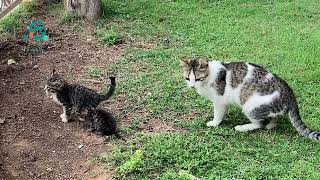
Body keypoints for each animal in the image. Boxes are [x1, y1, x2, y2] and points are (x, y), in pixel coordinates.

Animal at [181, 56, 320, 141]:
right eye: (187, 78)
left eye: (198, 78)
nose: (192, 86)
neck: (210, 76)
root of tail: (289, 93)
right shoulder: (224, 101)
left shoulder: (219, 100)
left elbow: (218, 114)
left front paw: (215, 123)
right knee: (273, 119)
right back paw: (271, 125)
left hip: (250, 106)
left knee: (260, 123)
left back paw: (242, 128)